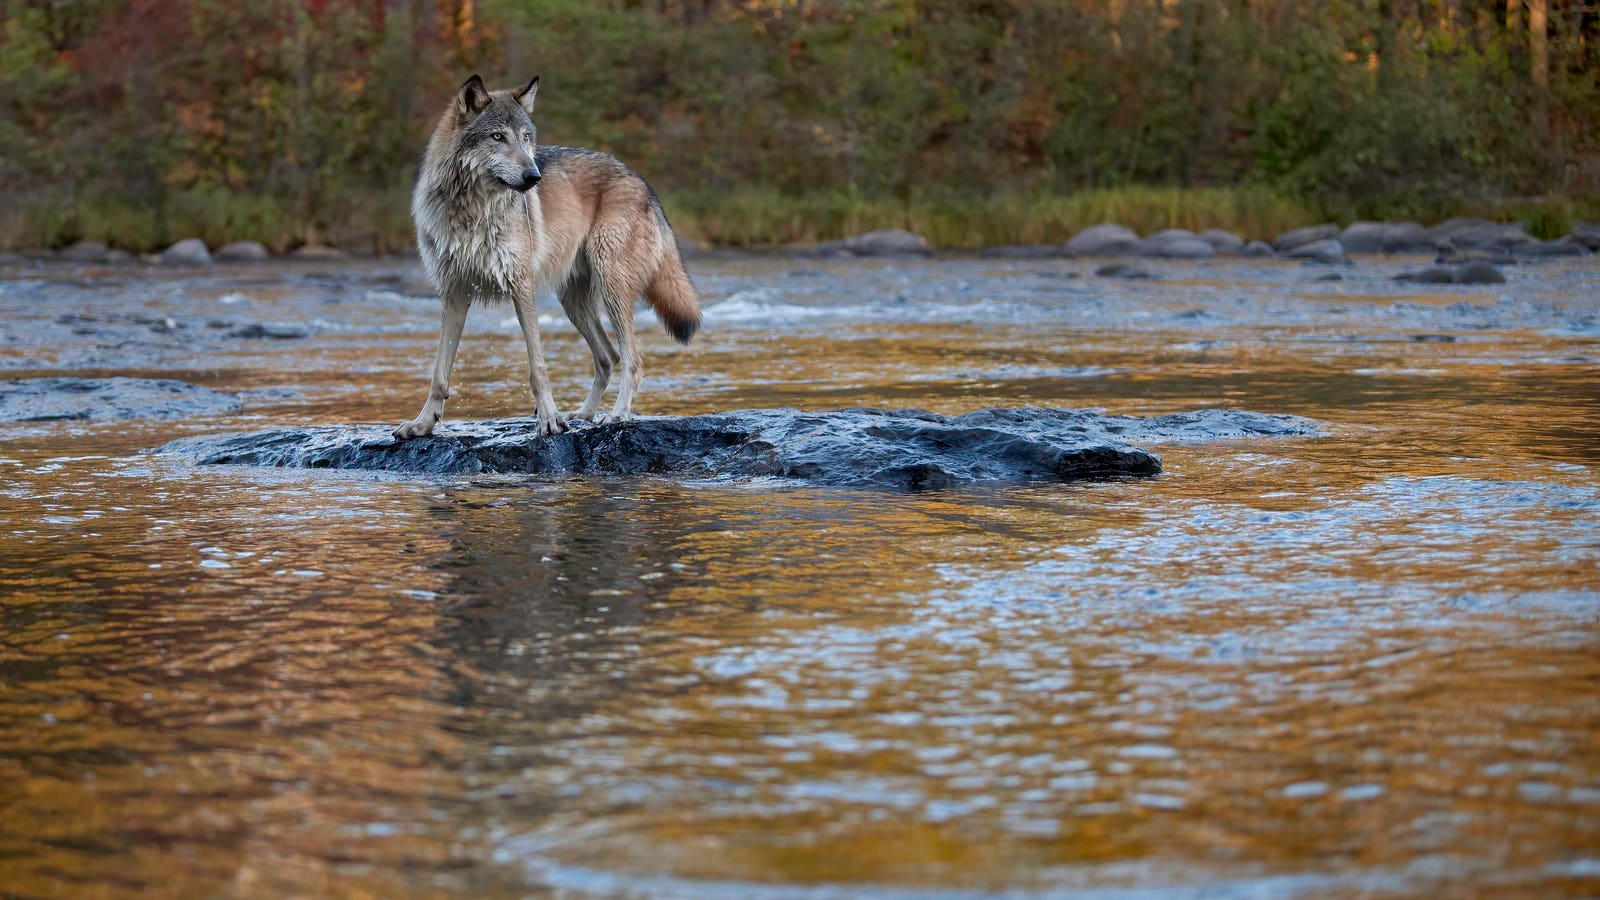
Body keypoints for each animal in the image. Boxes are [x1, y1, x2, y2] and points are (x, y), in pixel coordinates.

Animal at [395, 74, 701, 439]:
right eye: (498, 137)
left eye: (526, 138)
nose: (533, 177)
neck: (473, 210)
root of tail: (641, 179)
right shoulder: (454, 293)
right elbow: (439, 373)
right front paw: (423, 423)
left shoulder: (521, 286)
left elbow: (537, 366)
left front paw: (549, 419)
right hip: (573, 302)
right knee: (608, 357)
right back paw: (583, 414)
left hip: (611, 286)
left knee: (632, 361)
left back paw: (616, 415)